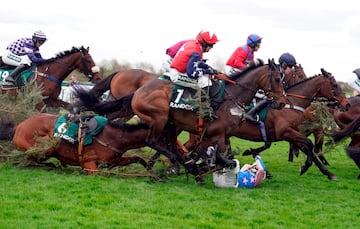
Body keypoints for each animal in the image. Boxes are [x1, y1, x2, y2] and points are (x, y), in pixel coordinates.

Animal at [8, 112, 152, 174]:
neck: (114, 137)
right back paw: (51, 166)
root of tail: (18, 127)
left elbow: (136, 158)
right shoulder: (89, 163)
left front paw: (149, 167)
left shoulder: (115, 159)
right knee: (26, 162)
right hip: (47, 146)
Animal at [74, 59, 286, 177]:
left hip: (167, 122)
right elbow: (221, 157)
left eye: (283, 79)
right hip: (159, 118)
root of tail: (137, 93)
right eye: (277, 79)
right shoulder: (216, 134)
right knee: (151, 140)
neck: (231, 97)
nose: (283, 102)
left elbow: (222, 155)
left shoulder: (221, 135)